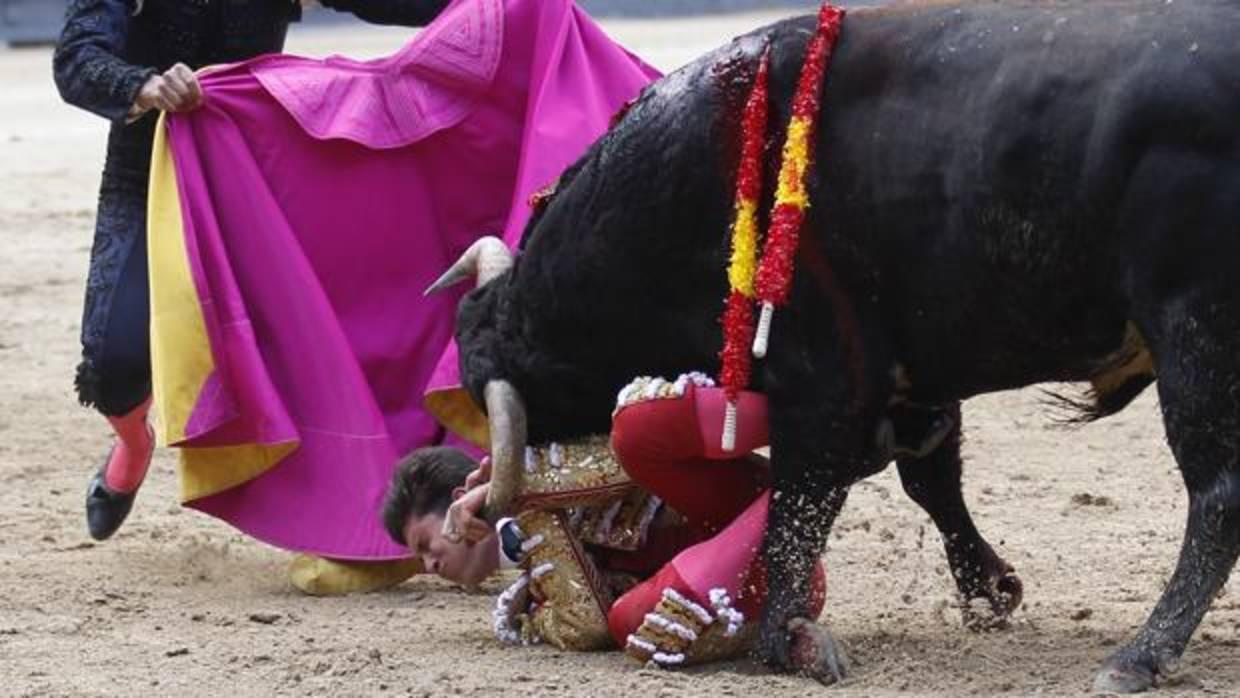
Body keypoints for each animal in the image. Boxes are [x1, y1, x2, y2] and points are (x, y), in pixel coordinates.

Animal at [441, 0, 1235, 689]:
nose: (488, 505)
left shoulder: (821, 383)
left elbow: (800, 505)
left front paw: (784, 640)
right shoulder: (909, 377)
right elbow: (927, 477)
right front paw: (990, 590)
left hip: (1194, 334)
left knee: (1216, 495)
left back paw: (1141, 655)